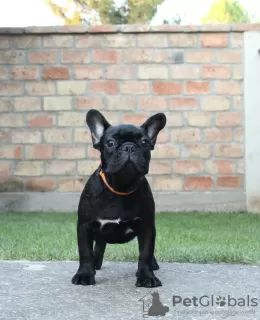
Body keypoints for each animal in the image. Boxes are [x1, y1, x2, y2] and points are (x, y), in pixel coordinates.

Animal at [72, 109, 167, 288]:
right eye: (110, 143)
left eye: (144, 142)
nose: (129, 146)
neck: (121, 186)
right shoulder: (85, 226)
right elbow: (85, 252)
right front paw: (85, 274)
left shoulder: (147, 227)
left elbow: (145, 252)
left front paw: (146, 276)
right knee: (99, 244)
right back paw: (95, 264)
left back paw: (153, 264)